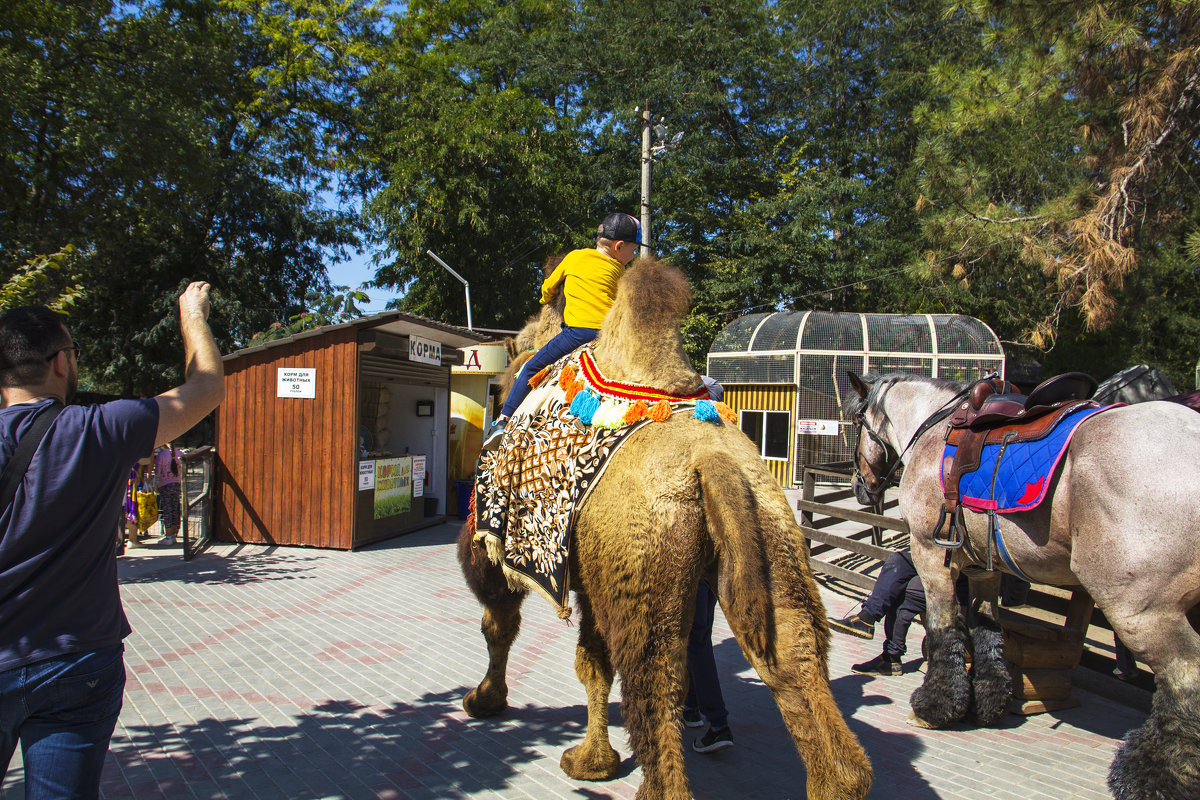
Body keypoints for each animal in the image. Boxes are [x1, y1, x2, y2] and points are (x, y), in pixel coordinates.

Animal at [458, 260, 873, 796]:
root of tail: (714, 459)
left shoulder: (492, 535)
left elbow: (499, 621)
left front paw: (484, 701)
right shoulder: (596, 572)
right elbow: (592, 663)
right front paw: (592, 761)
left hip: (645, 582)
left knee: (654, 690)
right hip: (770, 539)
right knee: (796, 665)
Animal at [844, 374, 1200, 800]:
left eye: (857, 424)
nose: (860, 485)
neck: (933, 429)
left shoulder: (930, 553)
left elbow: (944, 628)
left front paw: (936, 706)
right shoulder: (983, 568)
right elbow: (986, 629)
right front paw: (988, 702)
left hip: (1139, 610)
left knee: (1185, 680)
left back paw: (1150, 778)